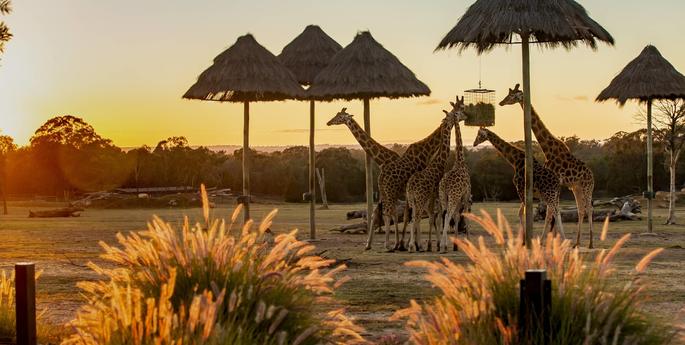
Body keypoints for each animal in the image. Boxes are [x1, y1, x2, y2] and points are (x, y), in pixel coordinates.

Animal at [406, 103, 464, 251]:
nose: (461, 117)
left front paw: (434, 244)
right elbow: (437, 218)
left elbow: (434, 217)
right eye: (453, 114)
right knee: (416, 218)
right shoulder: (436, 195)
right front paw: (437, 244)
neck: (439, 162)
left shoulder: (432, 197)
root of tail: (411, 186)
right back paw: (413, 245)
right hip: (420, 198)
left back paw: (416, 245)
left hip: (412, 199)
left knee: (413, 217)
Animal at [496, 83, 592, 247]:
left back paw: (591, 242)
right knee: (581, 209)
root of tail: (592, 174)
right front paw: (551, 241)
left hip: (587, 187)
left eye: (512, 95)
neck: (547, 150)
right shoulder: (557, 185)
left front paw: (547, 241)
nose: (501, 102)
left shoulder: (555, 183)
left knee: (589, 208)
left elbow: (550, 213)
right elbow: (552, 212)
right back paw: (577, 242)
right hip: (576, 187)